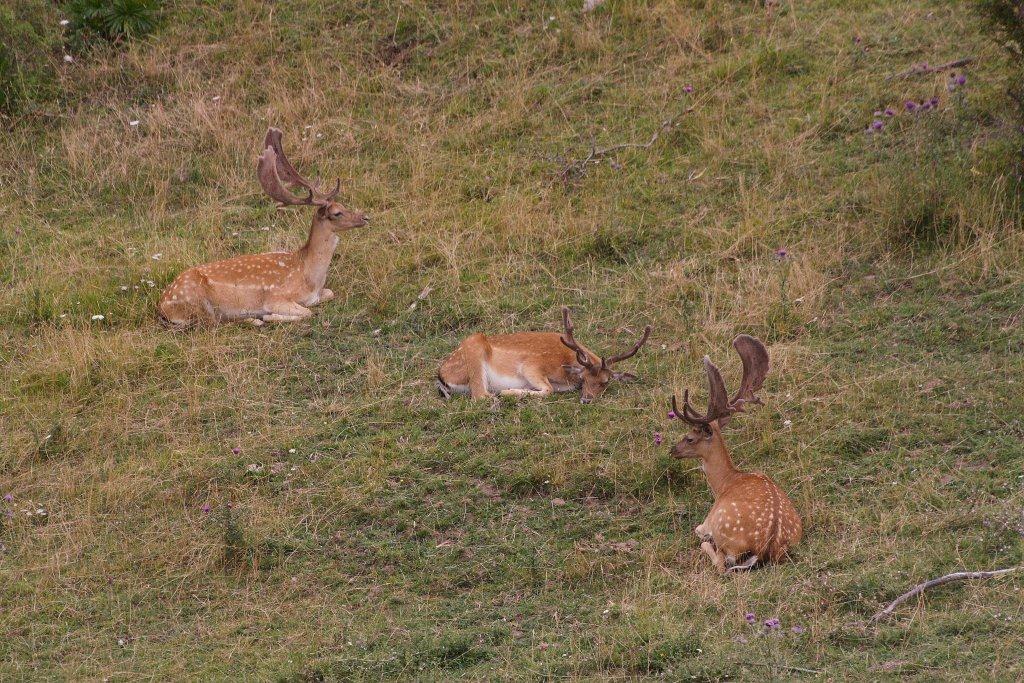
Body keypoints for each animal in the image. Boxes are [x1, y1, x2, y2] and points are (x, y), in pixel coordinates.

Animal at [157, 129, 370, 329]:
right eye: (336, 213)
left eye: (343, 205)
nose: (365, 217)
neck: (309, 276)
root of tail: (162, 304)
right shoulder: (277, 296)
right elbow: (306, 312)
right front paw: (269, 316)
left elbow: (329, 293)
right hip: (197, 303)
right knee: (212, 322)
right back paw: (255, 319)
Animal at [438, 307, 647, 403]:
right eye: (585, 377)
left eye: (605, 382)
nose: (586, 399)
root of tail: (441, 377)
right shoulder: (531, 365)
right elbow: (548, 389)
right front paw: (509, 391)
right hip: (474, 351)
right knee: (480, 395)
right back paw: (501, 394)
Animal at [667, 335, 802, 573]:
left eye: (690, 437)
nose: (673, 450)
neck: (724, 483)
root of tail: (766, 547)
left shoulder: (708, 520)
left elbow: (698, 529)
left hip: (726, 532)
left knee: (721, 563)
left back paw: (707, 545)